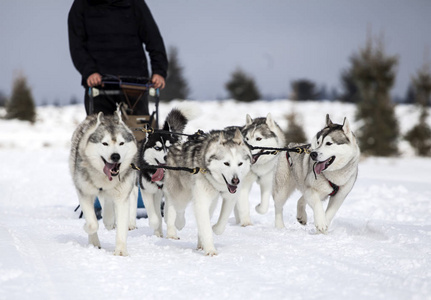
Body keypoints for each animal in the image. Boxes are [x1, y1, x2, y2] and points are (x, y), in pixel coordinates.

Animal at [69, 110, 138, 255]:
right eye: (105, 143)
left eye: (121, 143)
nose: (115, 156)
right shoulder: (84, 193)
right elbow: (92, 224)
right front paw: (88, 229)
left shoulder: (122, 197)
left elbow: (121, 226)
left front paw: (121, 251)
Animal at [131, 105, 198, 237]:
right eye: (157, 148)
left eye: (169, 146)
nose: (167, 157)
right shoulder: (147, 191)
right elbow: (153, 214)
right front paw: (156, 225)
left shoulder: (172, 191)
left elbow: (172, 215)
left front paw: (172, 234)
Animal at [165, 127, 253, 255]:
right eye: (226, 163)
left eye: (240, 163)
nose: (235, 180)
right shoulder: (201, 201)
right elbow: (205, 228)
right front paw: (210, 250)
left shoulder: (230, 197)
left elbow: (222, 219)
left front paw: (215, 229)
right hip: (181, 194)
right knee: (176, 207)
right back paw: (175, 227)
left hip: (211, 201)